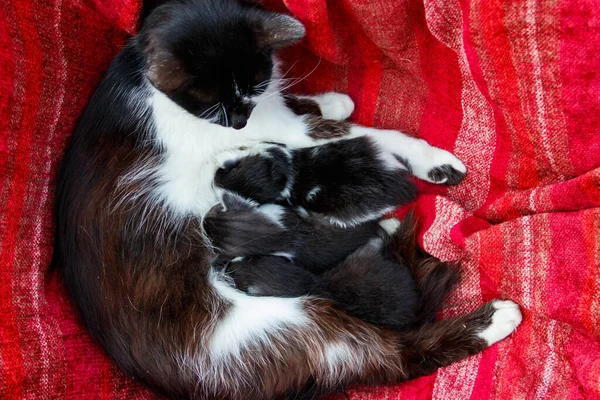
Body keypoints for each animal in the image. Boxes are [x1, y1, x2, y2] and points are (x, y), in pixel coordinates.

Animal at [56, 1, 524, 398]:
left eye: (254, 83)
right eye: (214, 109)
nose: (240, 122)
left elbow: (306, 110)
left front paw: (330, 100)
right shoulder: (280, 133)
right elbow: (371, 136)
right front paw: (432, 159)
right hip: (286, 329)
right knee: (395, 359)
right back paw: (496, 319)